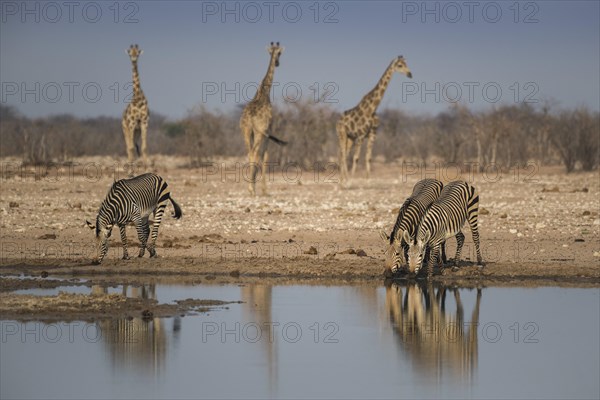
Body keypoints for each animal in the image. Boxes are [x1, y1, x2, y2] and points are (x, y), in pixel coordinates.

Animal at [239, 41, 286, 195]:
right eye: (279, 53)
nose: (277, 63)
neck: (264, 93)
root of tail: (250, 118)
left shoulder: (261, 133)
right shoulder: (267, 131)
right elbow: (265, 156)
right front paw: (265, 190)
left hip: (246, 131)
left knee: (249, 153)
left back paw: (251, 188)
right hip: (259, 133)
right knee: (255, 153)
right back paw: (252, 189)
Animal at [338, 55, 412, 184]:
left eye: (406, 63)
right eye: (400, 65)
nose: (410, 74)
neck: (372, 108)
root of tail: (338, 121)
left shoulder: (372, 134)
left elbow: (369, 158)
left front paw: (368, 179)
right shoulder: (361, 135)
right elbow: (356, 157)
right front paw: (352, 178)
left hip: (350, 137)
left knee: (345, 155)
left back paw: (343, 178)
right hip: (342, 135)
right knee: (342, 155)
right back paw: (345, 178)